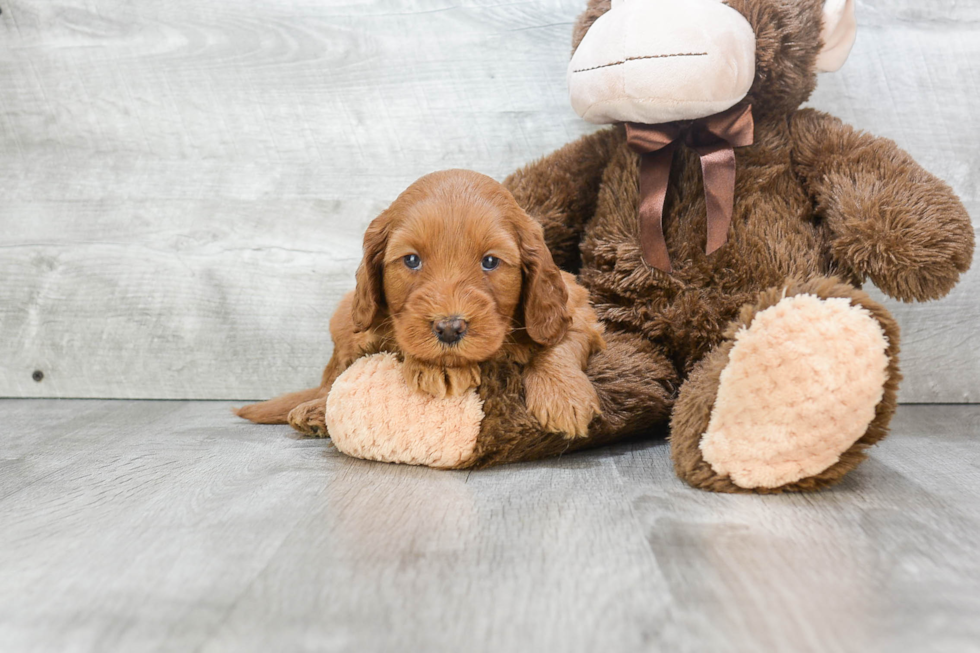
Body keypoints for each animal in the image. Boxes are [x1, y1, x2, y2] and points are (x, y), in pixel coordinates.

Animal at [237, 171, 604, 440]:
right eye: (411, 260)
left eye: (490, 262)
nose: (449, 328)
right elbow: (399, 339)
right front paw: (438, 366)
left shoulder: (576, 305)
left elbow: (558, 343)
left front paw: (563, 395)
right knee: (333, 377)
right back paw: (314, 409)